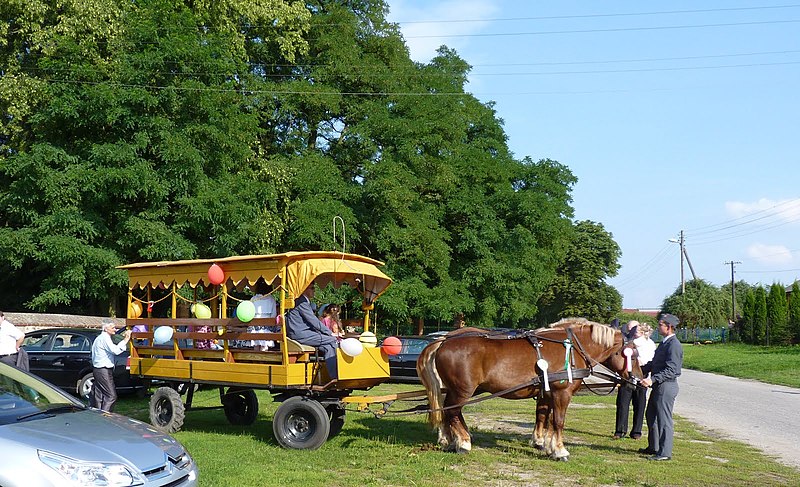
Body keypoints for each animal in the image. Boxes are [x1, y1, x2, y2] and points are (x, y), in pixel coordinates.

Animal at [416, 318, 640, 460]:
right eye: (634, 353)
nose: (639, 379)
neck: (571, 347)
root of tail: (443, 341)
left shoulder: (547, 393)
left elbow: (545, 417)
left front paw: (545, 444)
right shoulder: (562, 392)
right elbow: (558, 421)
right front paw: (559, 451)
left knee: (446, 411)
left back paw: (450, 439)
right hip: (462, 390)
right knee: (452, 411)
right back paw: (462, 442)